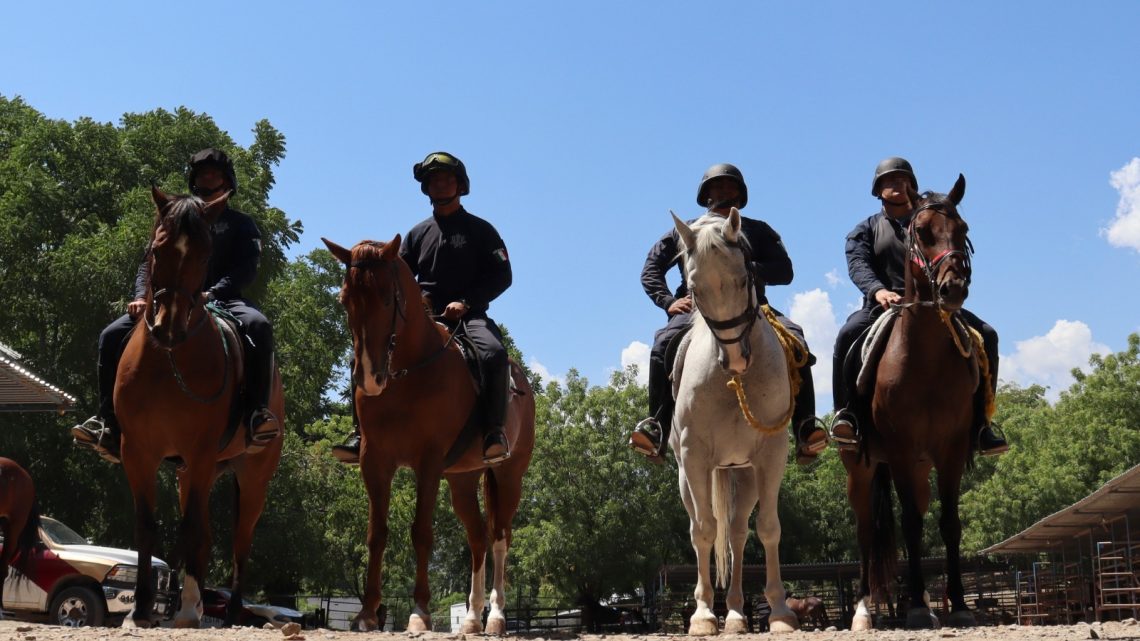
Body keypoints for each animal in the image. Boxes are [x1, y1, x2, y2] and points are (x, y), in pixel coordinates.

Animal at [116, 187, 285, 625]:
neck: (168, 363)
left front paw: (186, 612)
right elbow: (147, 528)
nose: (168, 325)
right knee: (205, 537)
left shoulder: (202, 451)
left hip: (251, 477)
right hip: (191, 474)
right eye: (156, 250)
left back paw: (231, 612)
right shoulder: (138, 452)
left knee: (240, 543)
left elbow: (190, 529)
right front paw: (140, 608)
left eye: (205, 254)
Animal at [321, 236, 533, 634]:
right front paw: (367, 613)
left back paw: (496, 616)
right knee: (478, 537)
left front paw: (419, 611)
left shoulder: (429, 463)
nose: (369, 377)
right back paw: (471, 619)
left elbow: (421, 531)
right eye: (344, 299)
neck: (409, 372)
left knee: (500, 538)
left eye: (387, 297)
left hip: (508, 475)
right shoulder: (375, 462)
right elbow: (376, 533)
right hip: (462, 480)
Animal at [670, 211, 798, 634]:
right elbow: (704, 531)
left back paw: (739, 611)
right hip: (688, 477)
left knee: (739, 534)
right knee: (704, 529)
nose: (735, 359)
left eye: (745, 279)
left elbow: (769, 528)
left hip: (744, 473)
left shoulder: (771, 455)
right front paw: (703, 614)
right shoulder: (694, 457)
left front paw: (780, 611)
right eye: (694, 289)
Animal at [843, 174, 984, 629]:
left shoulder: (951, 448)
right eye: (921, 232)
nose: (954, 289)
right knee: (866, 531)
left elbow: (948, 523)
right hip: (862, 469)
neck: (924, 360)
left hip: (921, 468)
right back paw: (865, 610)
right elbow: (908, 524)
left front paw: (957, 604)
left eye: (963, 230)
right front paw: (921, 610)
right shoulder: (901, 450)